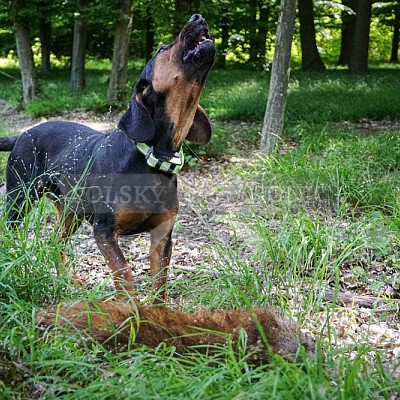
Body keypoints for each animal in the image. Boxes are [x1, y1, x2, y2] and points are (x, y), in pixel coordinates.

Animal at [0, 14, 216, 302]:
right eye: (162, 49)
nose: (197, 16)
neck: (152, 159)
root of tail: (22, 135)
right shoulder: (104, 230)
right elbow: (124, 273)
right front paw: (130, 309)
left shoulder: (162, 235)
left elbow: (160, 284)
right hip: (20, 200)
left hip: (71, 211)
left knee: (56, 242)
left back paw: (70, 280)